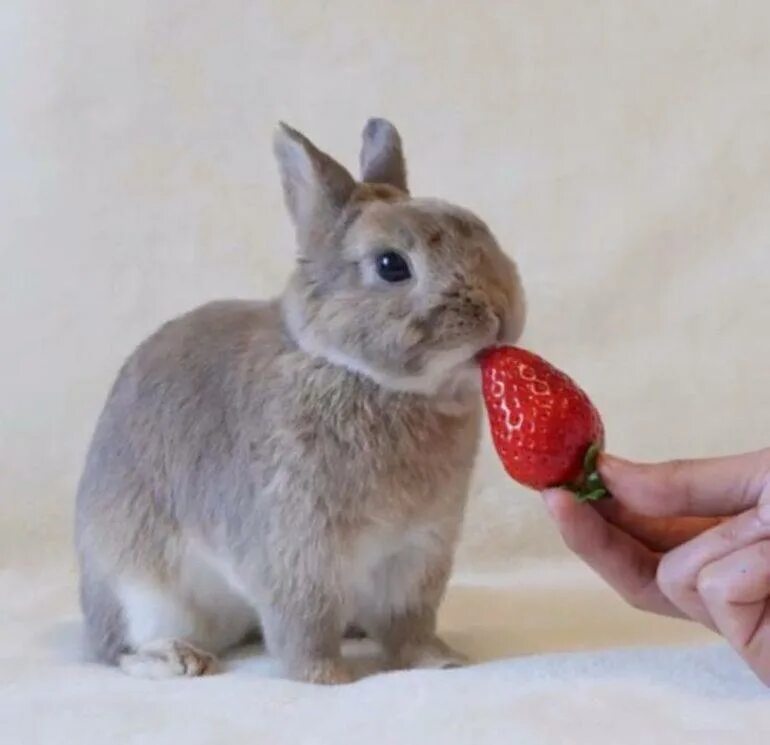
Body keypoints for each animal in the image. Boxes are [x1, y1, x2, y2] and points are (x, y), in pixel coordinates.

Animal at [75, 119, 524, 684]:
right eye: (390, 265)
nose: (501, 313)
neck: (364, 375)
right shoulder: (299, 550)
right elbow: (303, 623)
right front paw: (325, 678)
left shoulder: (417, 553)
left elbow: (408, 623)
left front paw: (439, 662)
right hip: (139, 589)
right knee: (114, 648)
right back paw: (177, 658)